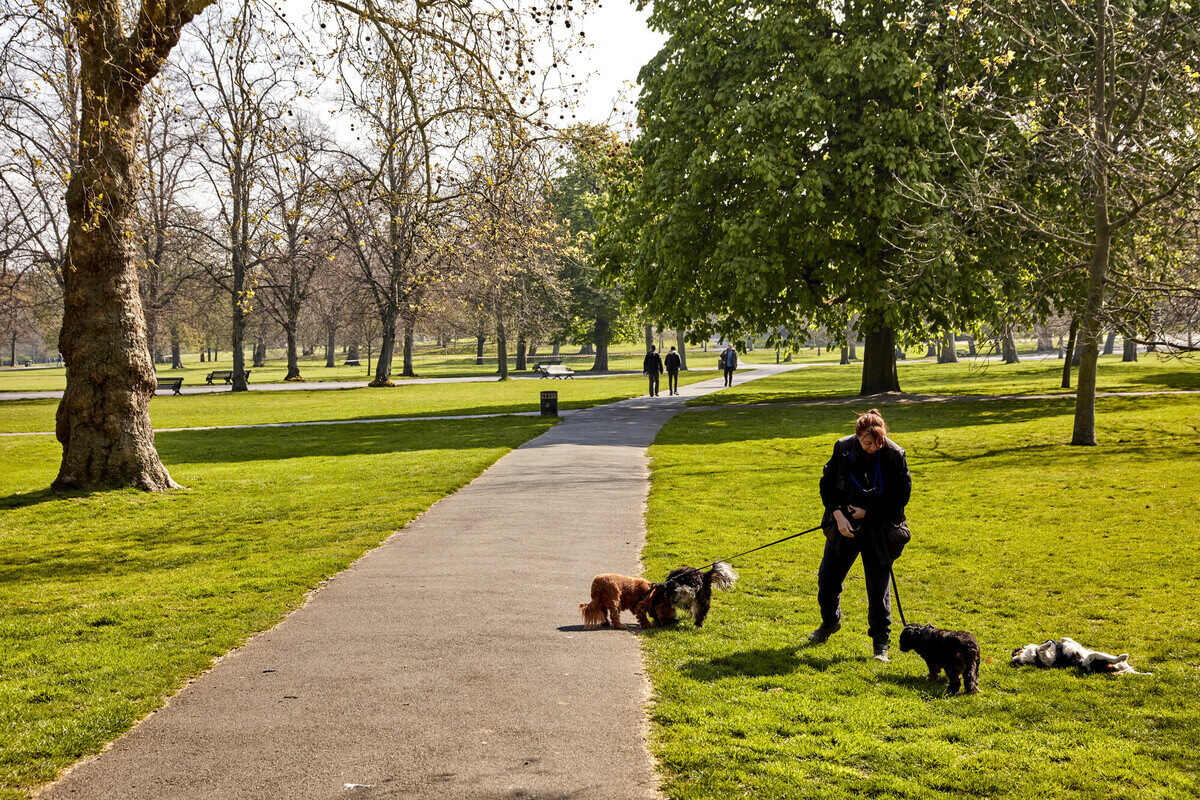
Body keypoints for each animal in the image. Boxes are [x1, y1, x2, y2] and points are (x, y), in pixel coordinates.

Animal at [1012, 638, 1152, 676]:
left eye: (1016, 654)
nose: (1014, 660)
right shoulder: (1046, 659)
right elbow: (1040, 649)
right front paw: (1045, 645)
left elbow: (1064, 639)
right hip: (1091, 659)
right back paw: (1123, 656)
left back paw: (1148, 674)